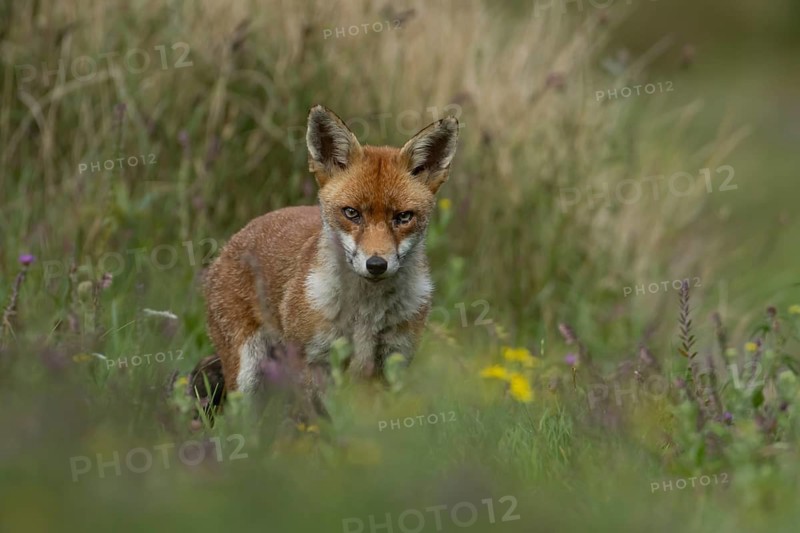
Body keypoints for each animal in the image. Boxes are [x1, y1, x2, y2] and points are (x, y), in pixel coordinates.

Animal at [203, 105, 459, 396]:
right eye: (351, 213)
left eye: (403, 217)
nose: (376, 264)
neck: (365, 315)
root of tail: (237, 235)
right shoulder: (312, 361)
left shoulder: (391, 363)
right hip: (247, 372)